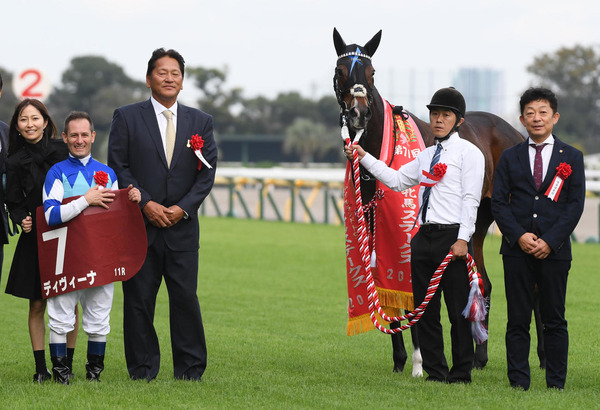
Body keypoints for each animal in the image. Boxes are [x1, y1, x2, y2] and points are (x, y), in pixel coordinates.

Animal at [332, 28, 524, 374]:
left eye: (371, 71)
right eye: (341, 71)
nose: (358, 113)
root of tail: (511, 132)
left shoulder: (407, 231)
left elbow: (414, 292)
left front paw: (420, 363)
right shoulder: (372, 225)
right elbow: (386, 292)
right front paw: (400, 359)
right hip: (476, 223)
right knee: (483, 281)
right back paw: (480, 354)